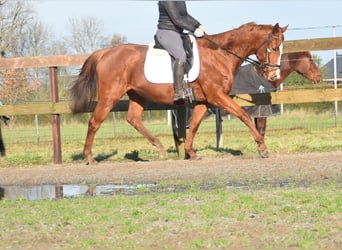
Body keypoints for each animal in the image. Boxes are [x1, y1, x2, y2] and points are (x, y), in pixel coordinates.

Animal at [71, 22, 288, 163]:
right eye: (274, 47)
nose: (273, 74)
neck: (220, 54)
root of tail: (105, 53)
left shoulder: (204, 101)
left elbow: (194, 125)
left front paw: (190, 152)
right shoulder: (218, 96)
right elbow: (243, 115)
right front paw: (262, 148)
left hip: (137, 94)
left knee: (133, 119)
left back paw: (160, 149)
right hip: (110, 96)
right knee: (95, 122)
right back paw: (89, 157)